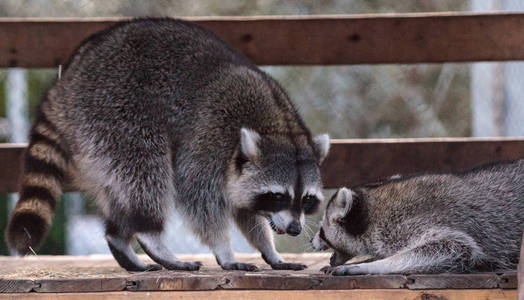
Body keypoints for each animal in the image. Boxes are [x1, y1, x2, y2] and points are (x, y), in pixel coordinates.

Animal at [6, 18, 330, 272]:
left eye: (306, 200)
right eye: (277, 196)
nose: (295, 229)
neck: (278, 128)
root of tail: (69, 78)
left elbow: (244, 210)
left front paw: (269, 250)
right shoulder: (209, 135)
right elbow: (197, 193)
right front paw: (224, 249)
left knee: (122, 187)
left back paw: (118, 237)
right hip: (114, 112)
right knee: (146, 170)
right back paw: (150, 235)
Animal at [314, 159, 520, 274]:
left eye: (322, 231)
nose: (311, 241)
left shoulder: (413, 223)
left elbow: (456, 248)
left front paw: (373, 265)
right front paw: (368, 261)